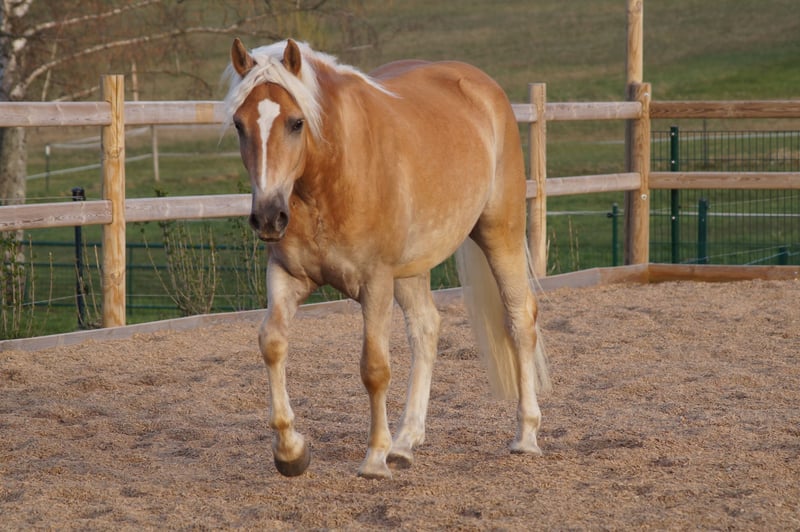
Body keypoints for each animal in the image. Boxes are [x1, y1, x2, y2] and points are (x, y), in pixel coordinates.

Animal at [223, 38, 551, 479]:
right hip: (412, 268)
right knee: (426, 330)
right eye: (240, 125)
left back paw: (526, 435)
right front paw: (291, 452)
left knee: (519, 319)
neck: (331, 180)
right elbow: (272, 344)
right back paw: (406, 440)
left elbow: (374, 368)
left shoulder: (374, 281)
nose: (269, 217)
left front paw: (374, 458)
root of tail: (483, 87)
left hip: (501, 233)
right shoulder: (286, 276)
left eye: (295, 123)